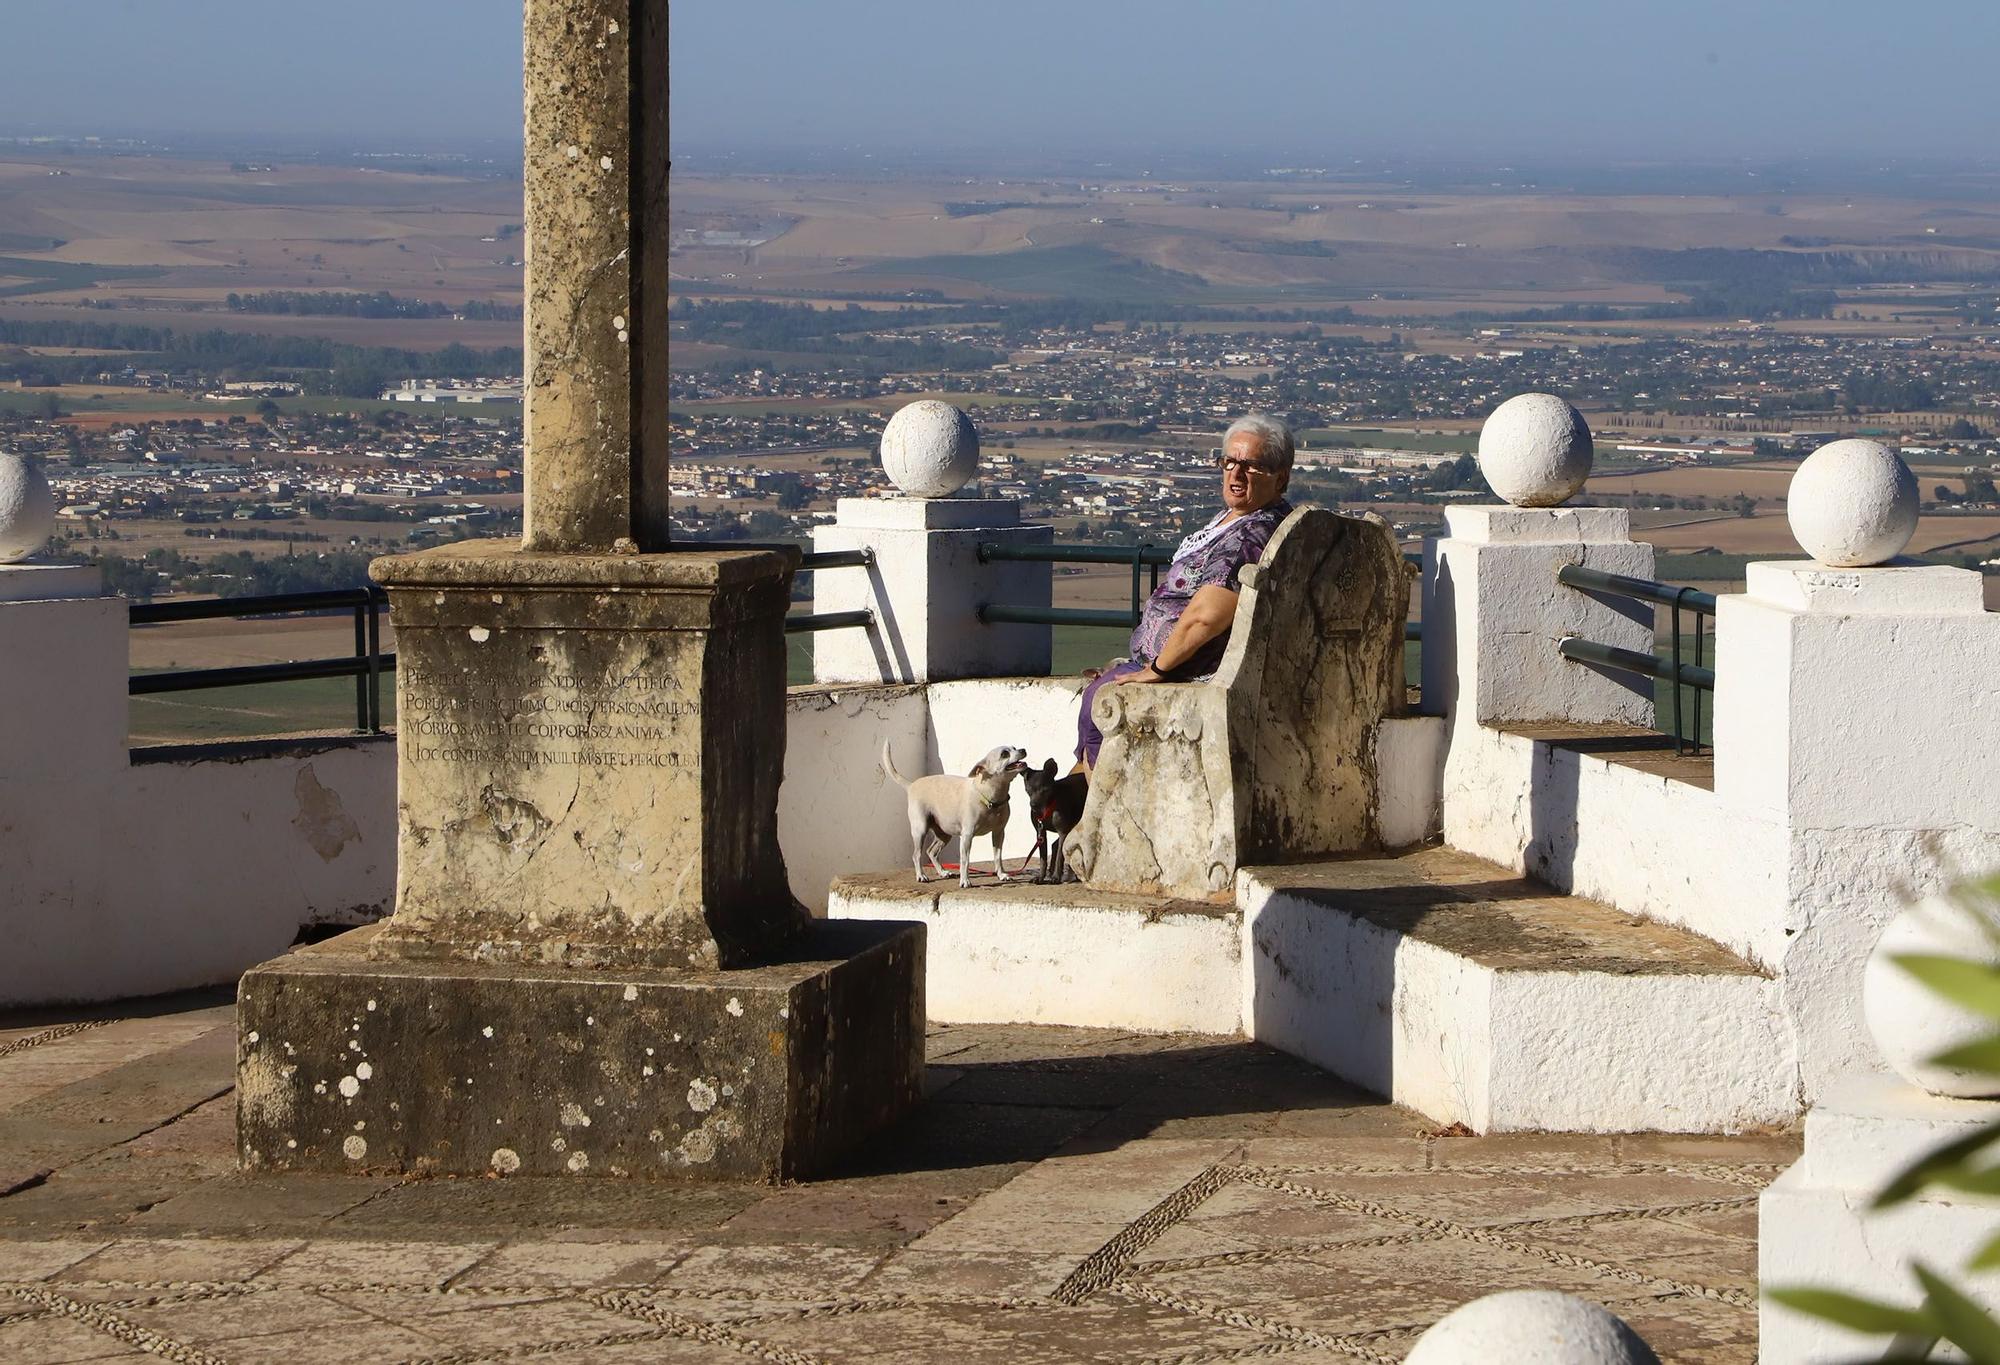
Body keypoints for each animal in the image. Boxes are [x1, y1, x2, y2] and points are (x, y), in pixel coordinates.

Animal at [880, 740, 1024, 888]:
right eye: (1004, 754)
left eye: (1014, 748)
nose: (1023, 750)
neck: (989, 798)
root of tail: (912, 785)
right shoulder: (967, 836)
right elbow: (965, 860)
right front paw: (965, 880)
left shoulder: (998, 833)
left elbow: (998, 857)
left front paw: (1002, 875)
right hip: (920, 830)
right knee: (917, 855)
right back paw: (921, 875)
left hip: (944, 833)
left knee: (931, 852)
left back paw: (943, 872)